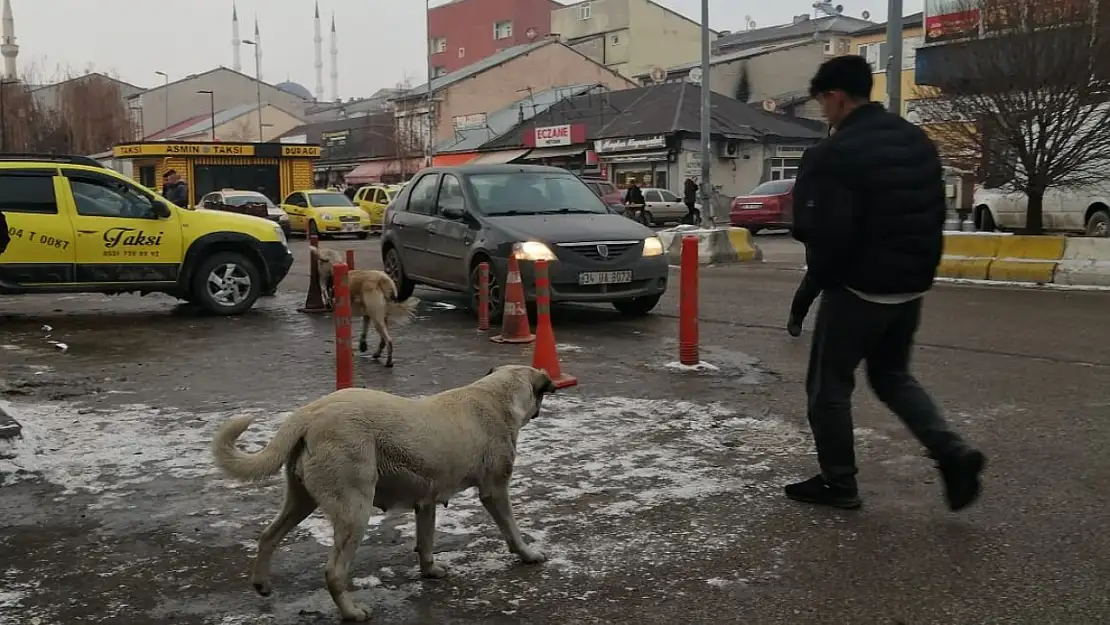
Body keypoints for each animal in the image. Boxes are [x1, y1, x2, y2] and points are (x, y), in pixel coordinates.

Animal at [209, 364, 555, 621]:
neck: (497, 393)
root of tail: (310, 413)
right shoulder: (495, 491)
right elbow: (511, 529)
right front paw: (528, 554)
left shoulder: (426, 501)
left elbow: (425, 541)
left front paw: (429, 570)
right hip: (355, 511)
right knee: (333, 572)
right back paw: (352, 612)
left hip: (301, 500)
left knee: (268, 535)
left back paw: (262, 583)